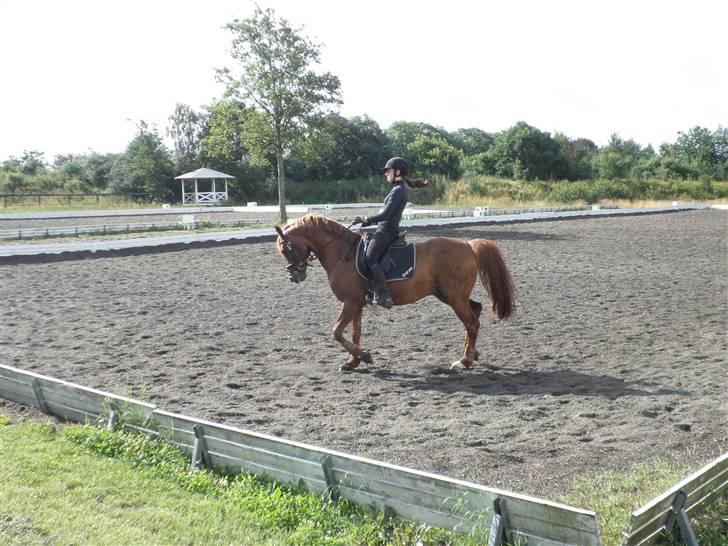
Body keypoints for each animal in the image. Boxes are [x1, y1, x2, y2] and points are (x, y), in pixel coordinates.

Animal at [274, 213, 514, 372]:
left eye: (285, 249)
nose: (294, 276)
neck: (342, 254)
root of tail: (468, 245)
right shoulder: (356, 303)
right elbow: (354, 332)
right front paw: (353, 361)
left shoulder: (350, 302)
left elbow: (336, 331)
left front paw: (364, 356)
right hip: (452, 297)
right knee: (476, 311)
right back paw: (472, 354)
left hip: (455, 299)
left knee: (472, 323)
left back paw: (463, 361)